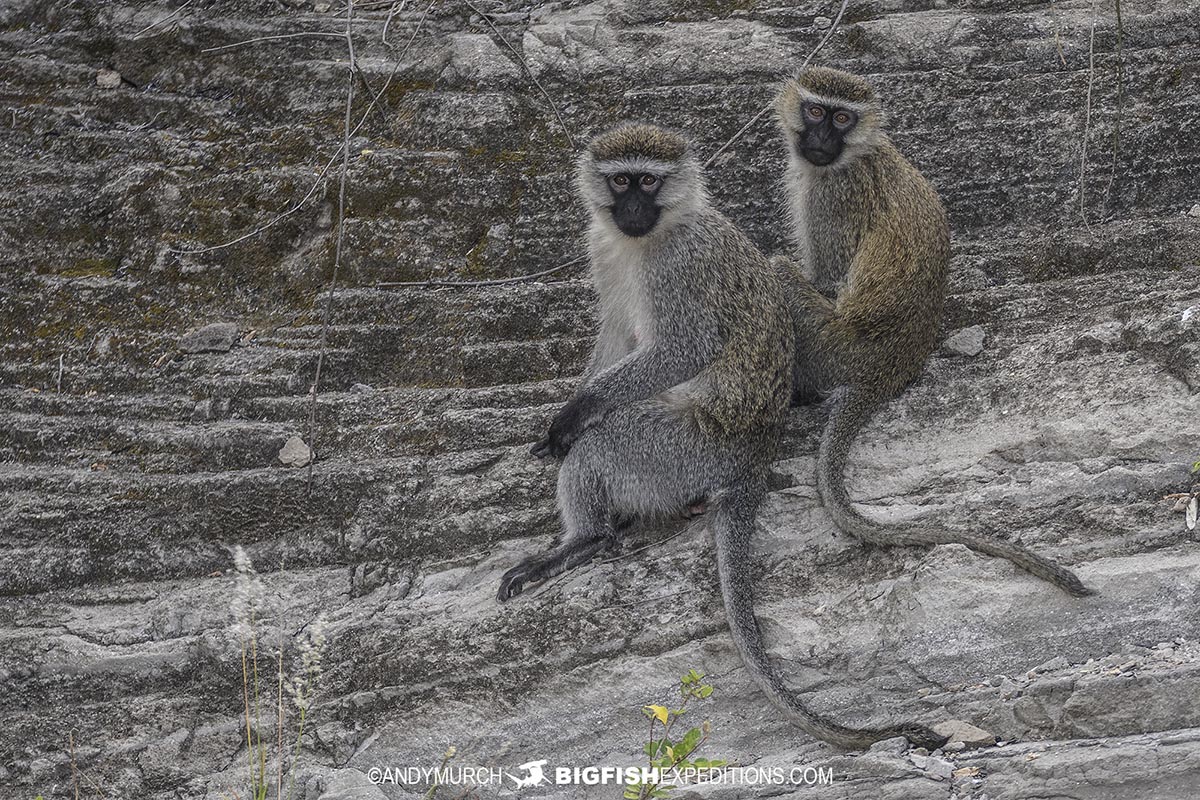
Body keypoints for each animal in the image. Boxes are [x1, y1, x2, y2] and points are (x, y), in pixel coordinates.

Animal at [496, 123, 947, 750]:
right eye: (620, 181)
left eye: (648, 181)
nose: (631, 209)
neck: (651, 239)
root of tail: (752, 458)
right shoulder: (604, 250)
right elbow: (615, 335)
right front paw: (574, 407)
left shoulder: (680, 266)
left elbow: (682, 350)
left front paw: (577, 412)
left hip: (685, 450)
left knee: (604, 445)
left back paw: (584, 539)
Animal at [773, 67, 1091, 597]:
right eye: (816, 111)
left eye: (841, 118)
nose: (820, 139)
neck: (856, 154)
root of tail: (892, 365)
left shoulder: (832, 198)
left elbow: (829, 281)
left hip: (831, 346)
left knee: (780, 273)